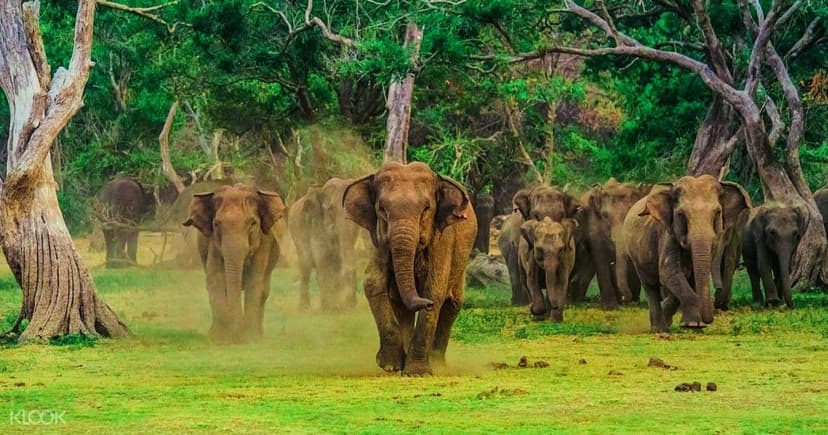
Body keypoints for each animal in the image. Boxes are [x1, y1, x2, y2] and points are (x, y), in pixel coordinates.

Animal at [183, 183, 286, 343]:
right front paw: (221, 339)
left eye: (252, 223)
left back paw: (259, 334)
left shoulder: (264, 241)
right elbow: (215, 278)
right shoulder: (213, 243)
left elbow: (254, 280)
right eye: (216, 224)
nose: (236, 336)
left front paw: (248, 338)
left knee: (264, 290)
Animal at [289, 178, 361, 311]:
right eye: (331, 210)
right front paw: (328, 310)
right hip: (296, 230)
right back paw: (305, 309)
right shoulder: (316, 221)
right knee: (306, 266)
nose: (351, 305)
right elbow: (322, 258)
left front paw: (340, 307)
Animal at [343, 162, 477, 376]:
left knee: (452, 305)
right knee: (401, 306)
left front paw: (417, 373)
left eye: (426, 209)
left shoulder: (443, 240)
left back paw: (437, 364)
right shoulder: (378, 241)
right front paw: (390, 366)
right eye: (381, 209)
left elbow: (435, 290)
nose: (425, 304)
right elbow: (373, 284)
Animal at [577, 178, 651, 308]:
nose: (624, 299)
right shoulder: (593, 223)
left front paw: (632, 303)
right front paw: (610, 307)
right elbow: (600, 257)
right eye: (605, 216)